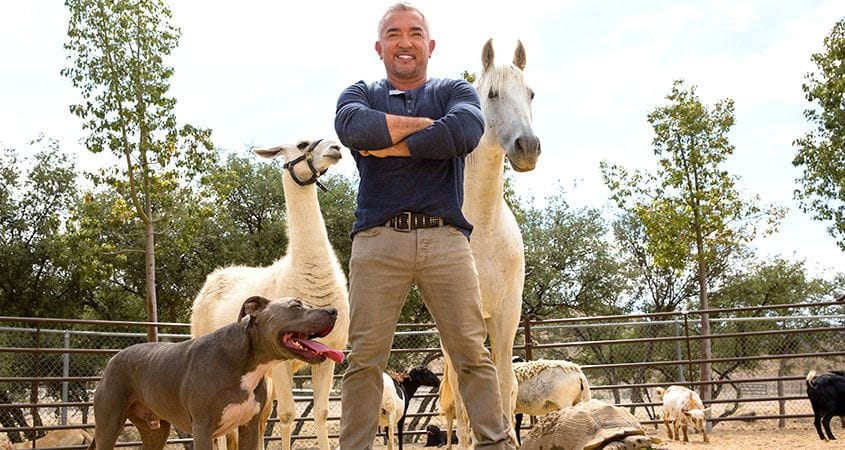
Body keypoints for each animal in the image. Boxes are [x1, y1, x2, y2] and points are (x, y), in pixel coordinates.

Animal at [89, 296, 342, 450]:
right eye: (296, 306)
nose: (333, 310)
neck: (246, 361)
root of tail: (114, 358)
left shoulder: (249, 428)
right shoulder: (203, 428)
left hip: (156, 431)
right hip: (109, 426)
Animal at [191, 138, 350, 450]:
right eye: (301, 143)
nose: (335, 148)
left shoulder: (329, 354)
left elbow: (321, 413)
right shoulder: (281, 363)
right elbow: (287, 414)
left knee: (258, 419)